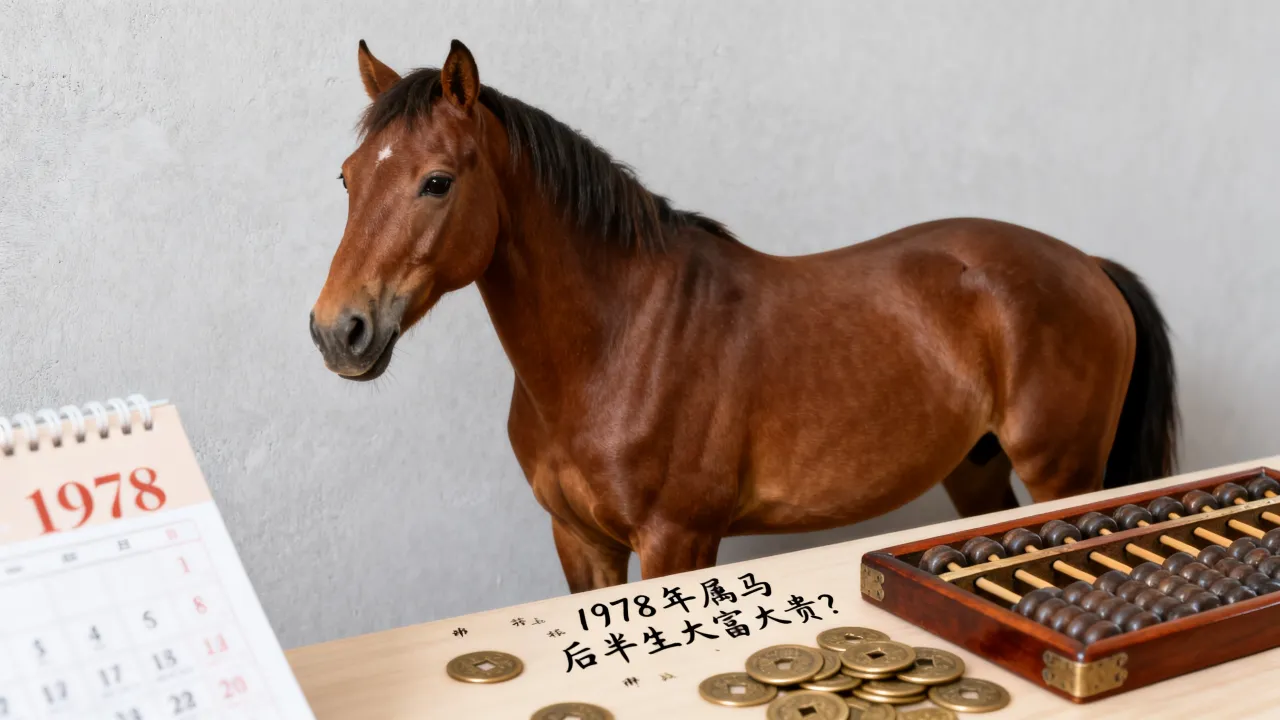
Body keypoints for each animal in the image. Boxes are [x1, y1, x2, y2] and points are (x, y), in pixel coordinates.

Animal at [310, 39, 1179, 593]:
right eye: (348, 177)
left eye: (437, 181)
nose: (338, 331)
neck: (619, 344)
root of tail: (1087, 266)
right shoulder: (580, 542)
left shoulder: (676, 540)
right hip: (979, 469)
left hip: (1062, 472)